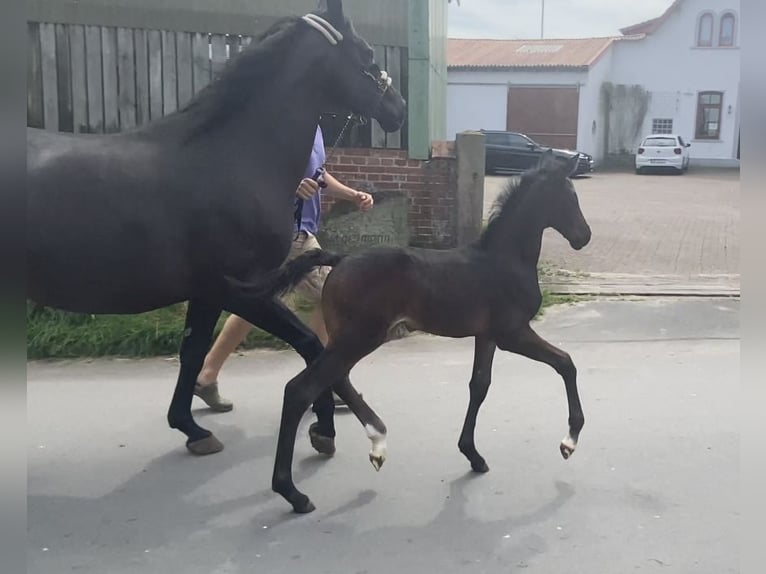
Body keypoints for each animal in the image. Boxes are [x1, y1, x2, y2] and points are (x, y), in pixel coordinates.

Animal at [25, 2, 408, 456]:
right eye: (366, 53)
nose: (399, 107)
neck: (231, 158)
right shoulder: (238, 289)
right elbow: (310, 345)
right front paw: (324, 430)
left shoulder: (207, 293)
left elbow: (192, 352)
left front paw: (190, 427)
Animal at [246, 152, 592, 512]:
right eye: (571, 198)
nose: (584, 236)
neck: (505, 259)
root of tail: (340, 259)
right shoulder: (513, 333)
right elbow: (565, 363)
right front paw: (569, 440)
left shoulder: (487, 335)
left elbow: (479, 386)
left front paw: (472, 454)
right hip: (361, 337)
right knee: (301, 389)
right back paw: (293, 492)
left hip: (350, 337)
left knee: (335, 379)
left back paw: (377, 441)